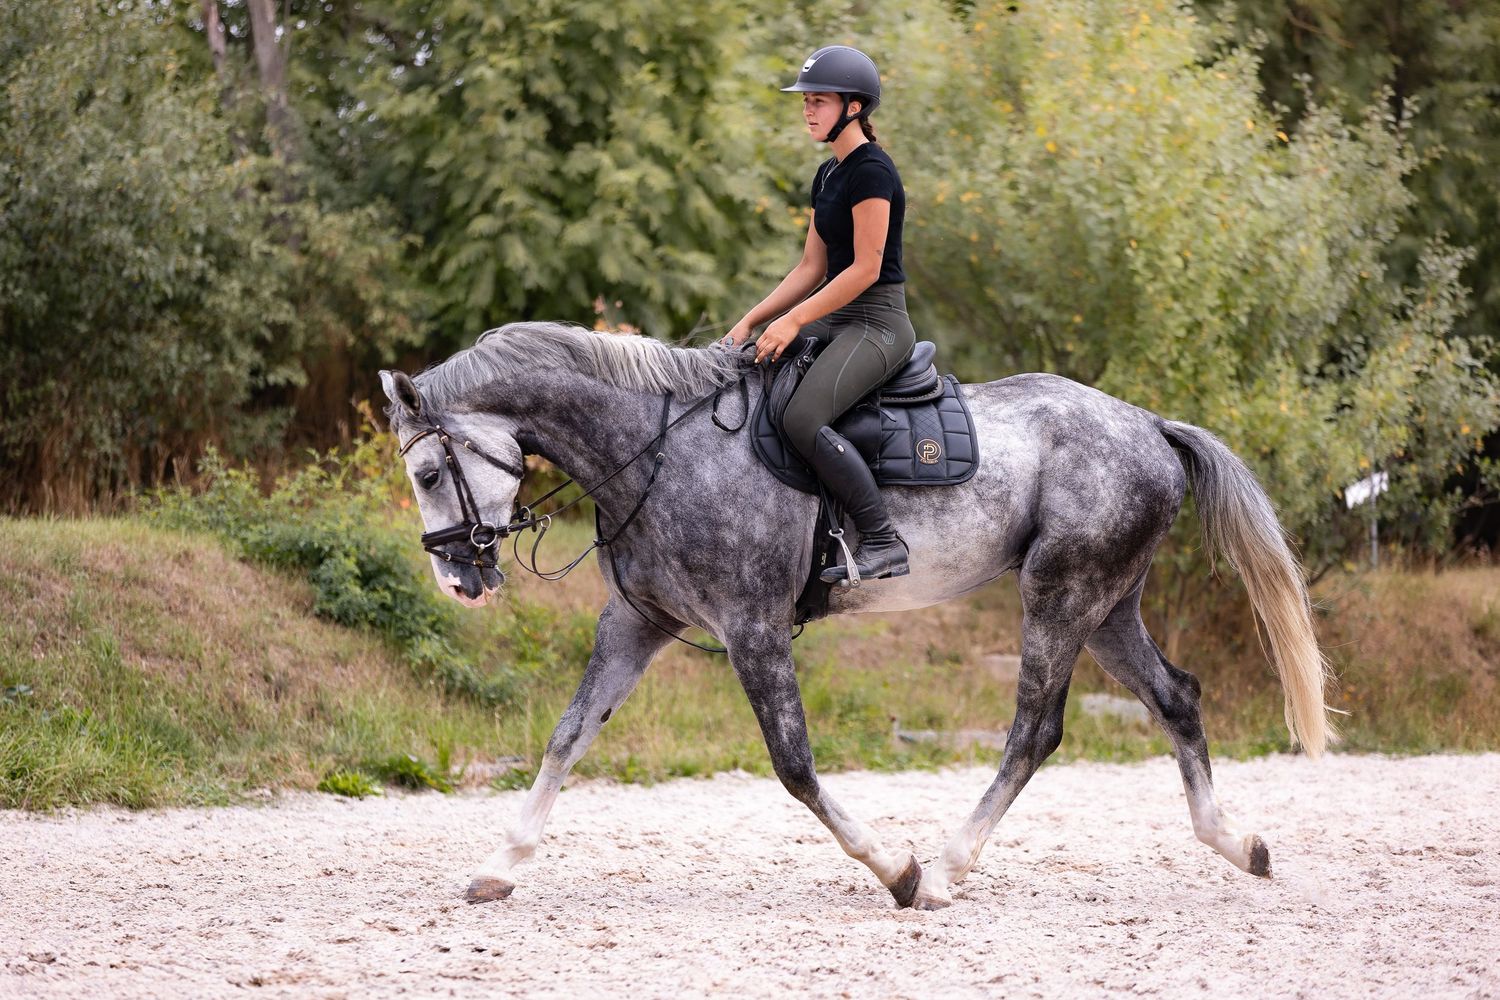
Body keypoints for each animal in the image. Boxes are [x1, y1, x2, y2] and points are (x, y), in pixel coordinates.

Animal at [379, 321, 1333, 911]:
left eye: (427, 473)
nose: (459, 582)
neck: (657, 452)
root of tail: (1149, 425)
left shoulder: (753, 627)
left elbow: (795, 765)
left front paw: (896, 871)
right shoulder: (636, 621)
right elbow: (568, 734)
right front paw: (498, 866)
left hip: (1061, 596)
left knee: (1036, 728)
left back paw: (945, 869)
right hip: (1107, 606)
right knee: (1176, 697)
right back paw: (1236, 842)